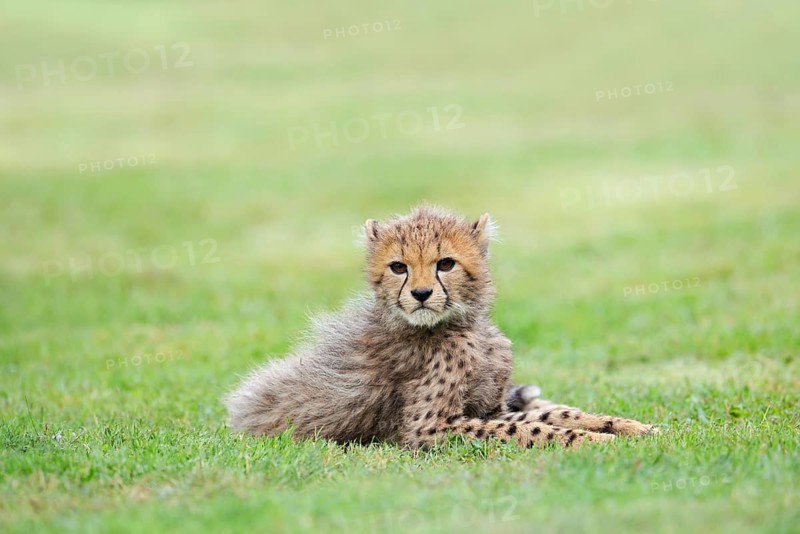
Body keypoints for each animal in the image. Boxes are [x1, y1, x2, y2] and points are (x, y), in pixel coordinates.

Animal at [225, 205, 656, 448]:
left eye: (445, 263)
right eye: (398, 267)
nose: (420, 293)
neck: (464, 326)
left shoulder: (490, 408)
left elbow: (555, 416)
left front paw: (629, 426)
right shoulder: (428, 428)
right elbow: (535, 429)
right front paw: (598, 440)